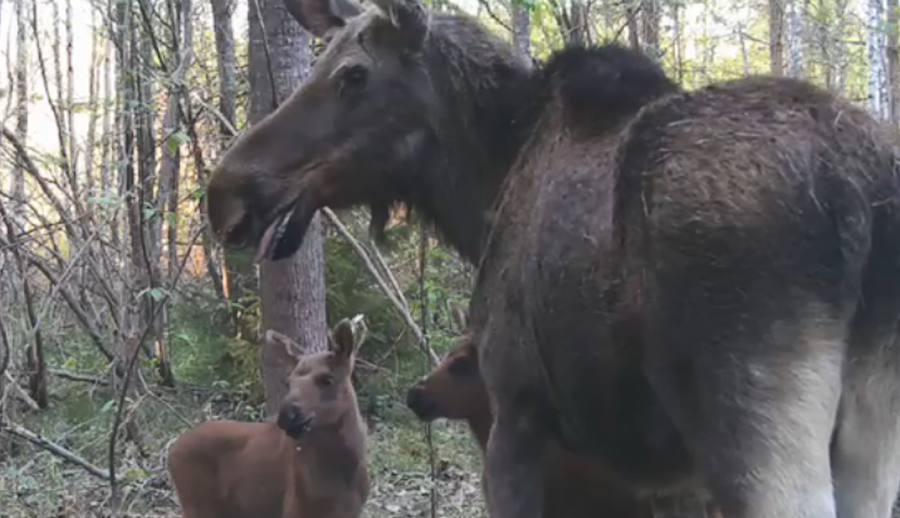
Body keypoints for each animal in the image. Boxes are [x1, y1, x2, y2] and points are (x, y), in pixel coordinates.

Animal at [167, 316, 368, 518]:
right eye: (288, 383)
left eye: (327, 379)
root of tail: (172, 450)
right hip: (198, 505)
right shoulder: (295, 508)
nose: (287, 417)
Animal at [202, 0, 900, 516]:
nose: (223, 192)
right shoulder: (669, 481)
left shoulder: (516, 409)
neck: (489, 184)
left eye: (353, 74)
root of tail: (860, 195)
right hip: (869, 439)